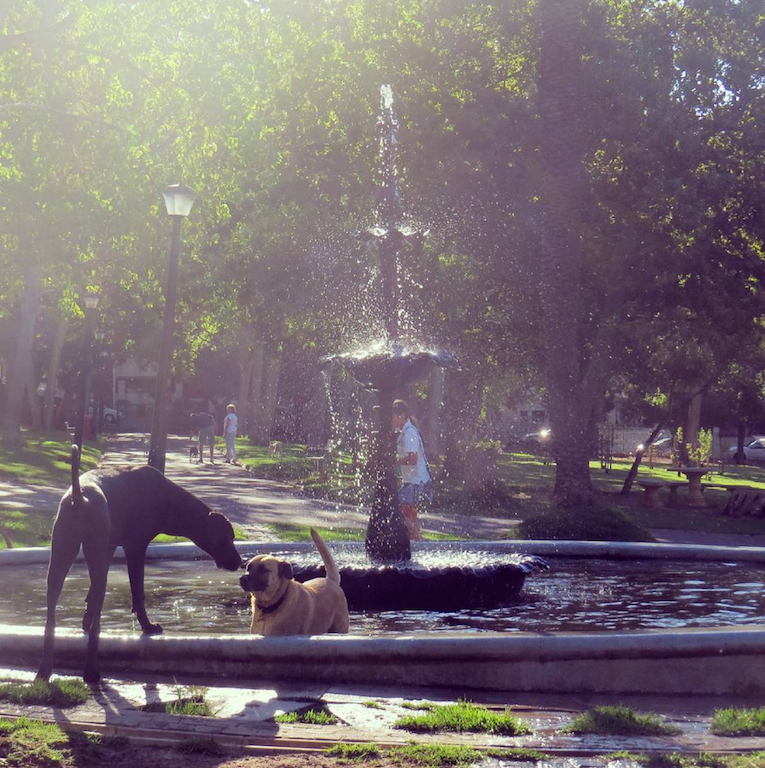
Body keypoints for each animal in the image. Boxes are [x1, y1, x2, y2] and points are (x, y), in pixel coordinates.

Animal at [36, 444, 242, 684]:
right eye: (227, 538)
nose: (240, 562)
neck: (167, 498)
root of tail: (79, 497)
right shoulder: (136, 548)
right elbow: (138, 593)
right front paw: (147, 626)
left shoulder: (109, 549)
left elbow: (90, 596)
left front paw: (85, 620)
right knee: (97, 611)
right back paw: (91, 672)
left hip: (61, 556)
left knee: (52, 613)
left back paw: (44, 670)